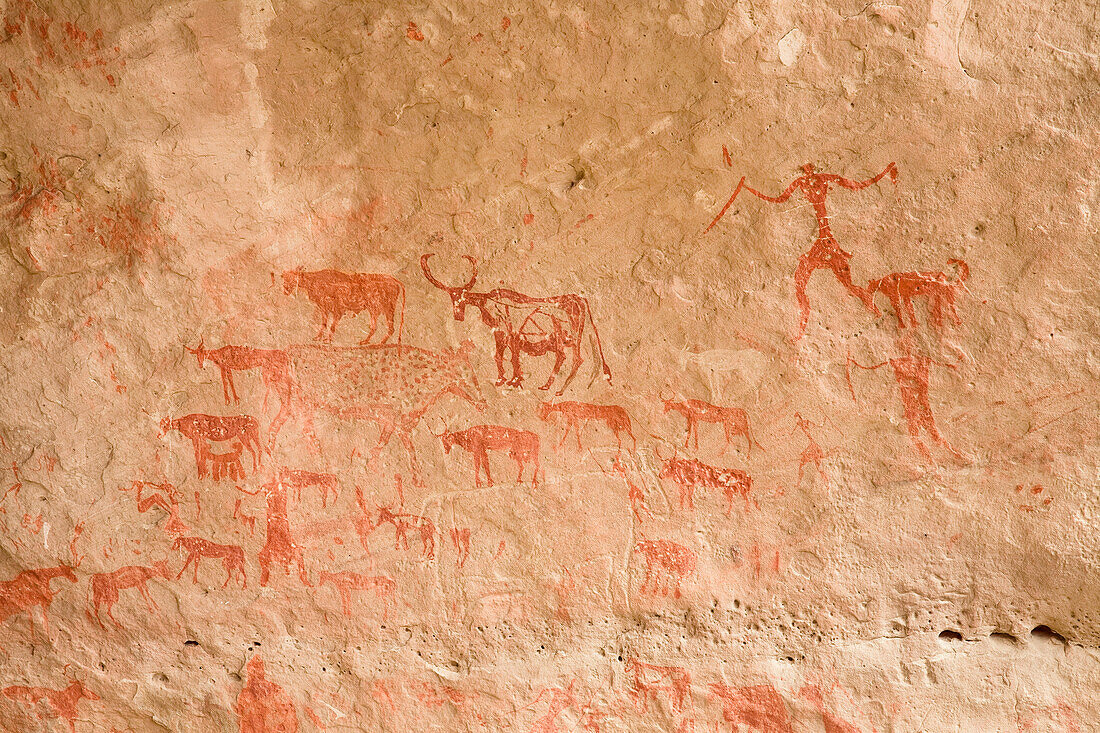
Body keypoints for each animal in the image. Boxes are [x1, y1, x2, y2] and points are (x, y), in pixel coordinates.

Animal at [420, 254, 616, 396]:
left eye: (461, 296)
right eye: (452, 297)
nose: (458, 316)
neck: (491, 303)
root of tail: (577, 299)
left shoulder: (510, 333)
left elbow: (513, 358)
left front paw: (515, 381)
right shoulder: (502, 335)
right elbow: (500, 356)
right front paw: (502, 380)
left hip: (567, 335)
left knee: (573, 359)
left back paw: (557, 389)